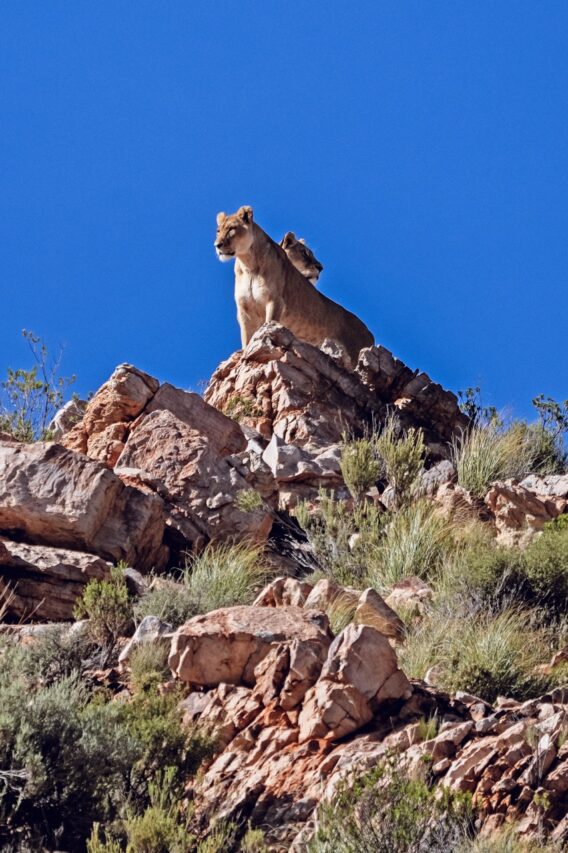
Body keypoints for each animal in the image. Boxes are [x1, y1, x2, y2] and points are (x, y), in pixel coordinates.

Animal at [215, 206, 374, 365]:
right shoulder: (244, 309)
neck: (248, 264)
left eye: (231, 229)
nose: (217, 245)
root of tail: (370, 334)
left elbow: (268, 324)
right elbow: (246, 338)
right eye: (218, 231)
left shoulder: (275, 300)